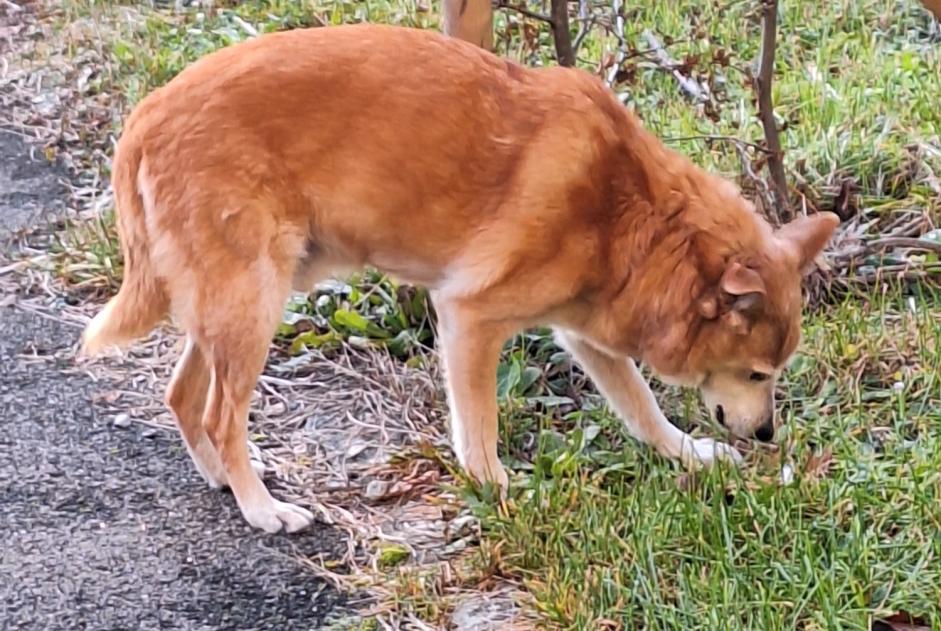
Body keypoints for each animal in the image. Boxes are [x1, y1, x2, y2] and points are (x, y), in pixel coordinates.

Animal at [81, 23, 840, 532]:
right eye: (755, 372)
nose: (767, 436)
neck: (633, 212)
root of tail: (143, 119)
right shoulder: (469, 319)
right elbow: (479, 430)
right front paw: (498, 493)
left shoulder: (588, 334)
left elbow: (641, 408)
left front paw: (690, 455)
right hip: (254, 302)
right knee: (216, 410)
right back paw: (262, 509)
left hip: (235, 301)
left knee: (183, 394)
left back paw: (221, 477)